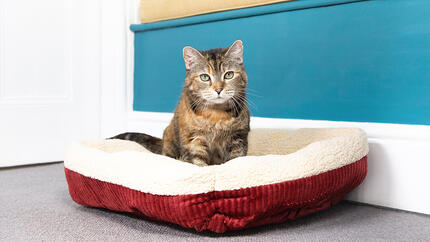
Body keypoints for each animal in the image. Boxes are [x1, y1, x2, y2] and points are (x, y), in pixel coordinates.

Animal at [112, 40, 250, 166]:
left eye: (229, 74)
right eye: (204, 77)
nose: (218, 89)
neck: (216, 115)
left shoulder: (239, 138)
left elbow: (236, 160)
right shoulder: (194, 140)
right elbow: (198, 162)